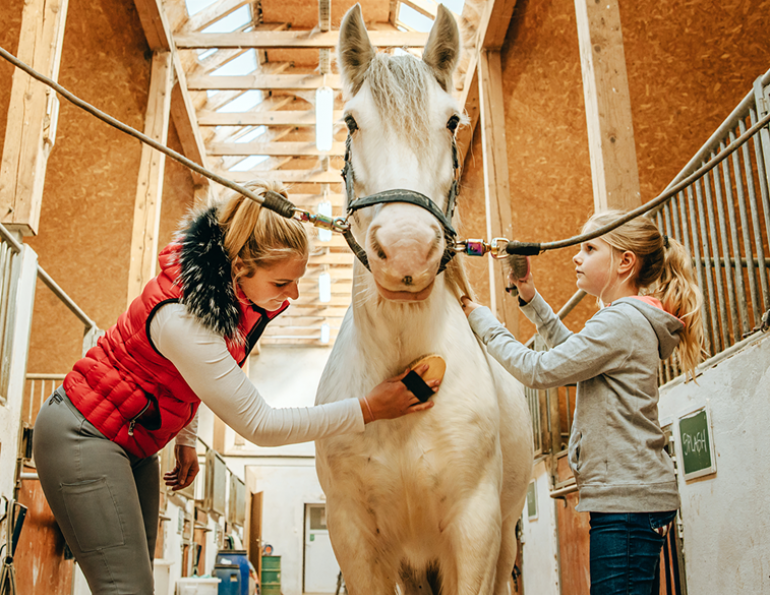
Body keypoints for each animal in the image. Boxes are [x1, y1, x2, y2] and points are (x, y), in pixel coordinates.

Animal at [314, 5, 534, 594]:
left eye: (453, 121)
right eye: (351, 122)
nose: (408, 252)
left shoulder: (476, 532)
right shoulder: (355, 540)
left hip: (504, 541)